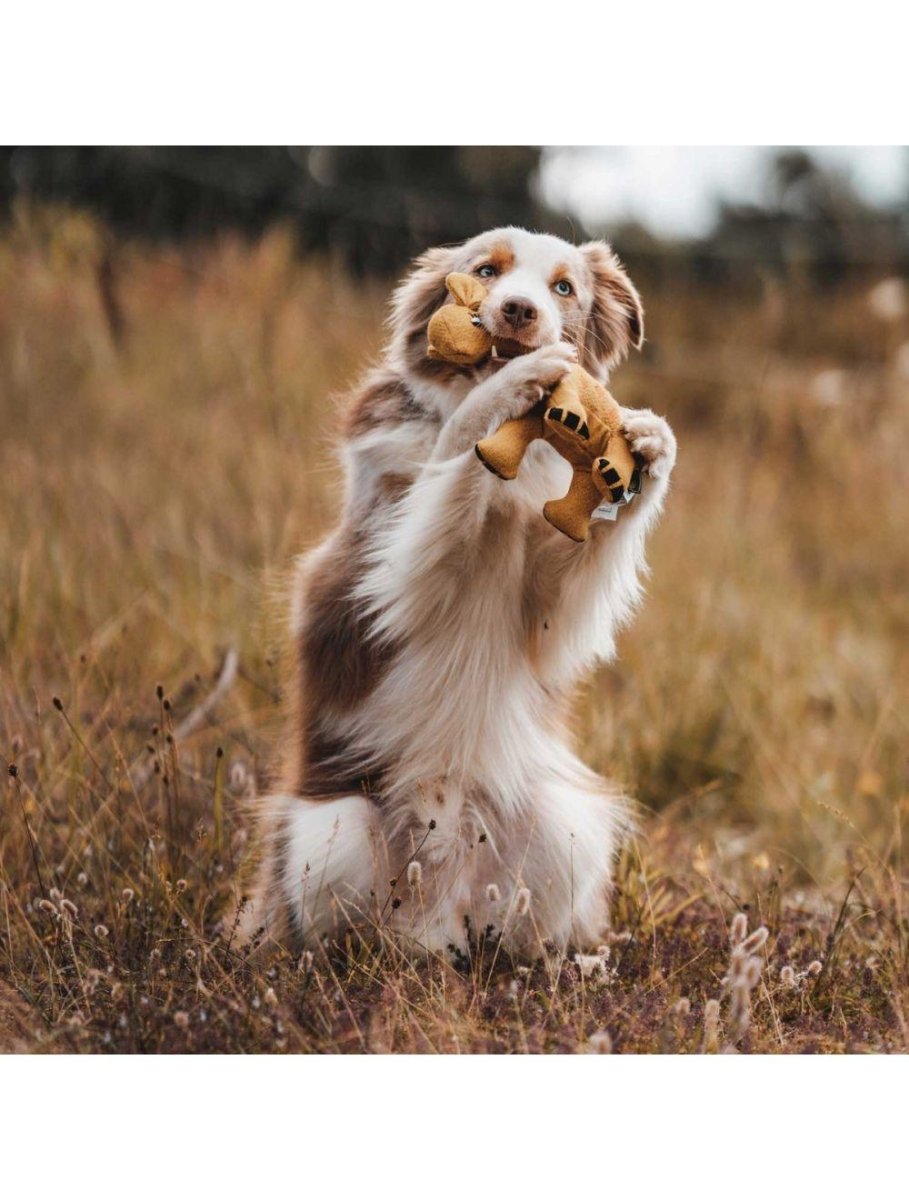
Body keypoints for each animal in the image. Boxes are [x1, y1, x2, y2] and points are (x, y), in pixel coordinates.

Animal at [238, 223, 681, 955]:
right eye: (485, 271)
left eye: (564, 287)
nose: (519, 312)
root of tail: (436, 917)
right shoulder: (388, 569)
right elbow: (453, 451)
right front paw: (501, 393)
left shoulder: (546, 612)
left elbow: (576, 574)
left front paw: (649, 449)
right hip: (334, 832)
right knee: (342, 926)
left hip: (565, 829)